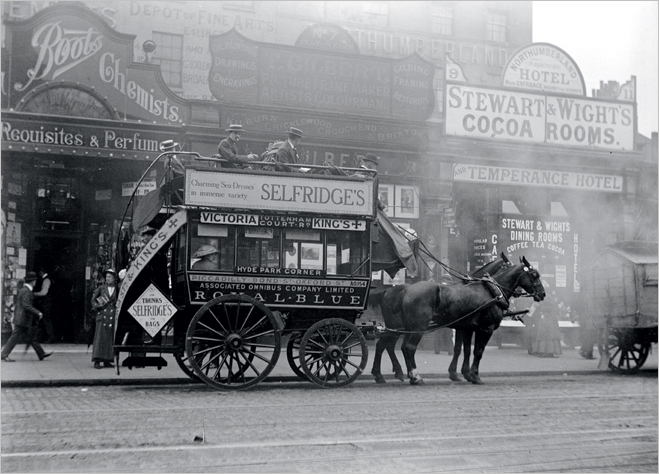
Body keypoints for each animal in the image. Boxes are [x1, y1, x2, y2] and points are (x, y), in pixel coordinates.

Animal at [372, 256, 548, 386]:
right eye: (534, 275)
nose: (542, 294)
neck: (492, 292)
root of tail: (403, 289)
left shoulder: (467, 327)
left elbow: (465, 350)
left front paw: (464, 374)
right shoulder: (486, 329)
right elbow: (477, 352)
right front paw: (475, 376)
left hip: (403, 327)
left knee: (391, 346)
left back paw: (392, 374)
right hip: (416, 327)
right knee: (406, 347)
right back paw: (414, 376)